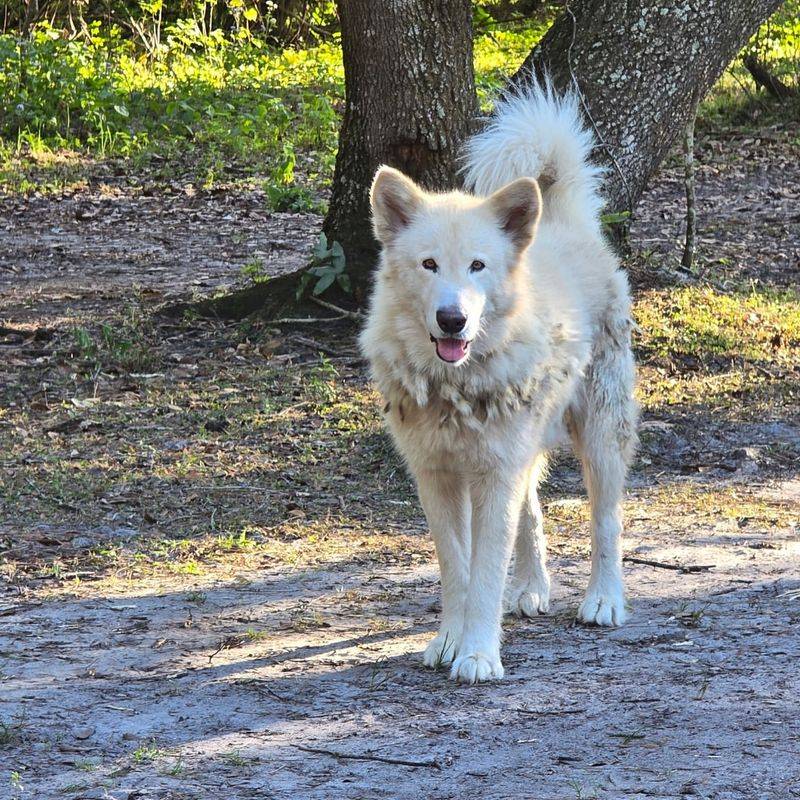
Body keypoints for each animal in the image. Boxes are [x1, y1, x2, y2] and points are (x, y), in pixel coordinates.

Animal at [360, 86, 636, 680]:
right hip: (522, 450)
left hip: (600, 436)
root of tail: (564, 222)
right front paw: (449, 640)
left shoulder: (494, 474)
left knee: (605, 521)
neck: (455, 385)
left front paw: (479, 655)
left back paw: (604, 600)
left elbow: (486, 570)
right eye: (429, 264)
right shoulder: (439, 477)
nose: (452, 319)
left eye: (478, 266)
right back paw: (531, 589)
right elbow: (458, 569)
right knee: (531, 513)